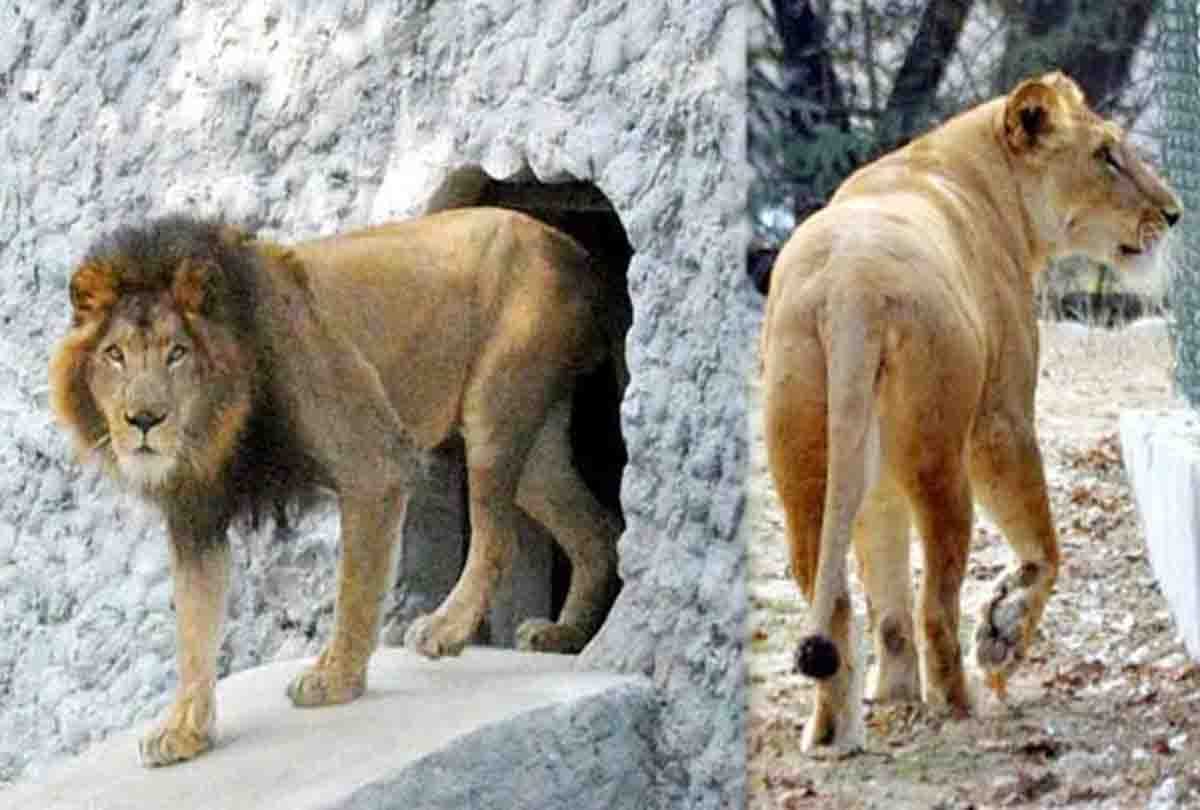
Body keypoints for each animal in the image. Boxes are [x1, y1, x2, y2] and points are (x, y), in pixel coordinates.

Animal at [48, 206, 625, 767]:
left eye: (176, 353)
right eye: (115, 354)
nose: (144, 419)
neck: (217, 420)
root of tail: (576, 251)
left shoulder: (373, 463)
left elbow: (355, 586)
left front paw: (337, 678)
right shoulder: (196, 514)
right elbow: (193, 626)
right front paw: (184, 730)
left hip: (496, 404)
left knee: (496, 535)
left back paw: (446, 629)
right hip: (536, 449)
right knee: (596, 528)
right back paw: (566, 634)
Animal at [760, 72, 1181, 754]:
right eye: (1106, 155)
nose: (1172, 213)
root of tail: (850, 288)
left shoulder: (874, 479)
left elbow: (885, 588)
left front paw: (893, 694)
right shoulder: (1002, 417)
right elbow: (1042, 541)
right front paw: (1003, 633)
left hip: (805, 462)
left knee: (839, 601)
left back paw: (832, 729)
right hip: (940, 457)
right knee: (936, 601)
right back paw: (961, 703)